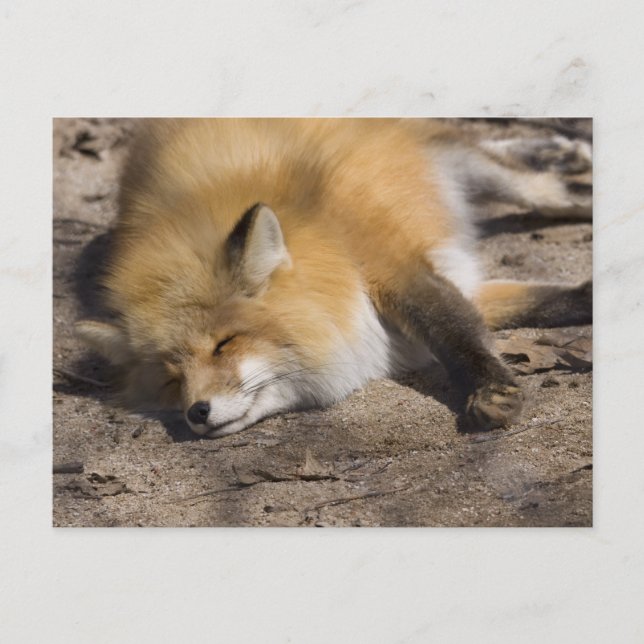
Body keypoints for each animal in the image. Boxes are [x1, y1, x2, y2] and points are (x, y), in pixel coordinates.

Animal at [76, 118, 592, 438]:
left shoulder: (391, 263)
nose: (196, 413)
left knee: (536, 186)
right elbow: (544, 301)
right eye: (171, 378)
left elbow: (452, 329)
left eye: (224, 344)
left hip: (443, 161)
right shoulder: (454, 280)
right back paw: (559, 152)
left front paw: (490, 390)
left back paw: (570, 173)